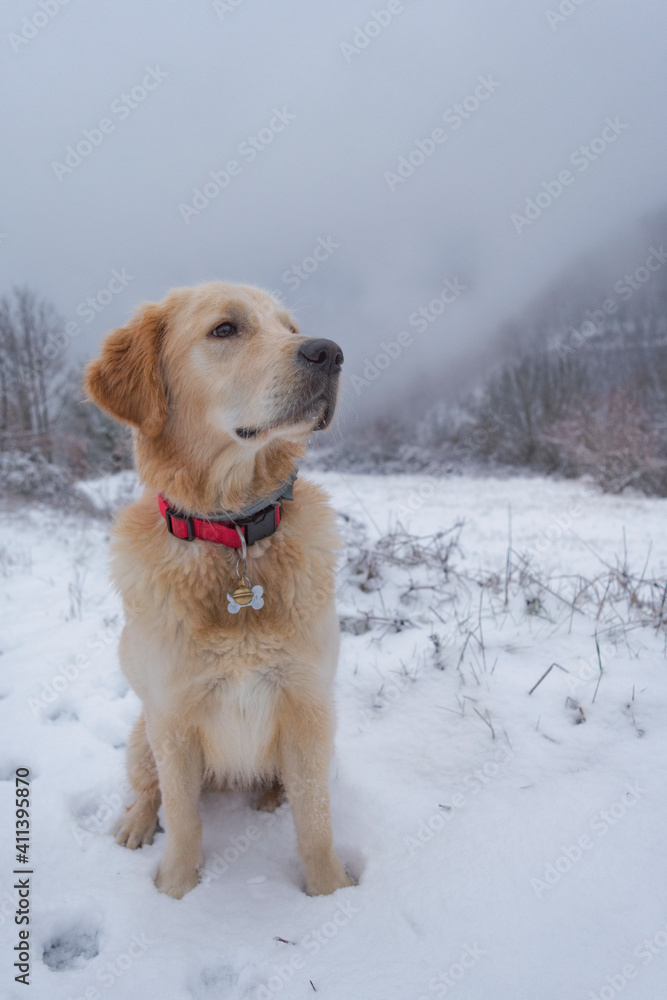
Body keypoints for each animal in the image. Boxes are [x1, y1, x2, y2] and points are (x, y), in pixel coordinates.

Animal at [85, 280, 354, 900]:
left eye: (290, 326)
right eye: (225, 329)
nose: (330, 353)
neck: (232, 531)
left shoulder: (309, 706)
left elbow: (316, 821)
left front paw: (329, 894)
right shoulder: (172, 719)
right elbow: (183, 817)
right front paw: (177, 892)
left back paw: (270, 794)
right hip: (141, 737)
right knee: (149, 790)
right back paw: (137, 824)